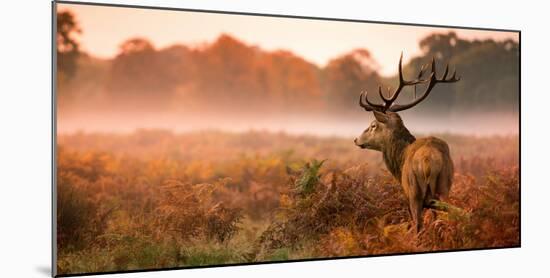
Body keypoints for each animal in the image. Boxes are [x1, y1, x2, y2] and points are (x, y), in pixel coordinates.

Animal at [354, 53, 462, 233]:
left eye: (373, 125)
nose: (356, 139)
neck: (400, 159)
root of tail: (429, 161)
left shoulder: (406, 191)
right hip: (445, 184)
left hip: (415, 190)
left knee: (418, 224)